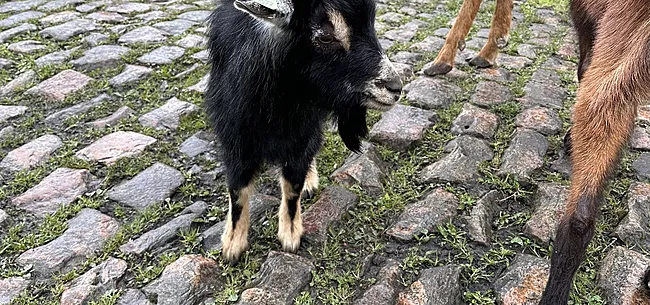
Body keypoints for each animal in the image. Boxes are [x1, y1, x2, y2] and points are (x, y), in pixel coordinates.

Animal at [206, 0, 400, 262]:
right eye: (326, 35)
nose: (395, 87)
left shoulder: (302, 132)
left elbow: (292, 188)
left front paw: (290, 235)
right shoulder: (236, 138)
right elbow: (237, 192)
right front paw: (232, 245)